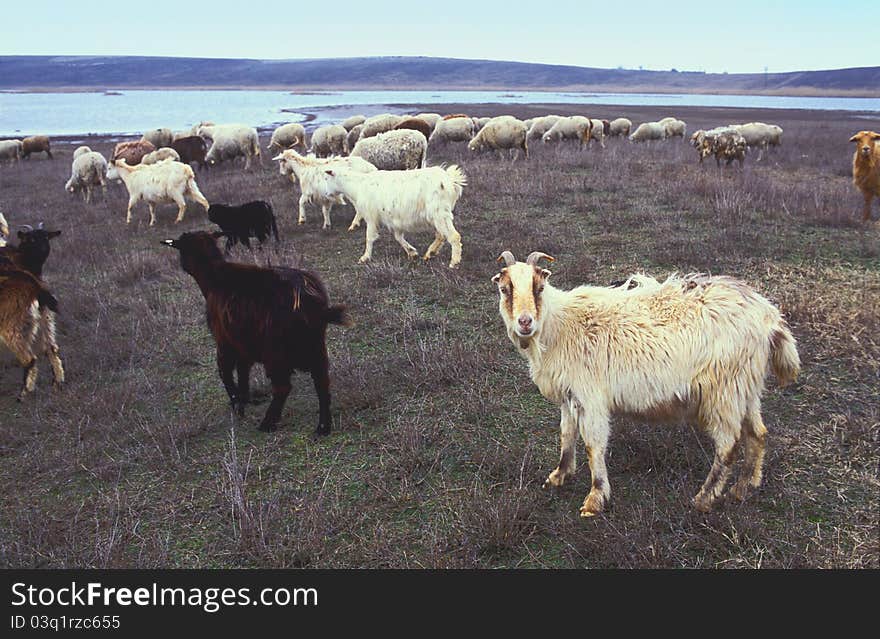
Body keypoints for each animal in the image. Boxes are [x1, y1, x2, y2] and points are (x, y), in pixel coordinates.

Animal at [162, 232, 348, 438]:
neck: (214, 277)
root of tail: (310, 300)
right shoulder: (243, 344)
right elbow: (243, 371)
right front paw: (243, 398)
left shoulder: (224, 340)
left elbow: (224, 371)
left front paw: (237, 403)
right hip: (315, 346)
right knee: (322, 382)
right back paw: (323, 427)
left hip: (275, 351)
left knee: (283, 387)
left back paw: (267, 423)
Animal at [318, 165, 468, 268]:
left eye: (326, 178)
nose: (325, 194)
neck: (357, 186)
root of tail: (450, 180)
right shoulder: (395, 220)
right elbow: (398, 237)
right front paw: (411, 252)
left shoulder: (371, 217)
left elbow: (369, 238)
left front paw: (365, 257)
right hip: (436, 216)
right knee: (441, 235)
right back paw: (430, 253)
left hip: (440, 213)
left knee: (454, 236)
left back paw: (454, 262)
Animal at [492, 252, 800, 516]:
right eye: (505, 289)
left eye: (539, 287)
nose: (525, 322)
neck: (561, 325)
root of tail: (769, 317)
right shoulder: (570, 396)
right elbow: (566, 435)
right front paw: (558, 476)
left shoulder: (591, 396)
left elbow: (593, 445)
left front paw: (595, 499)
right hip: (745, 388)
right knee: (757, 433)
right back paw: (744, 487)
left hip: (723, 391)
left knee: (728, 445)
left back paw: (704, 499)